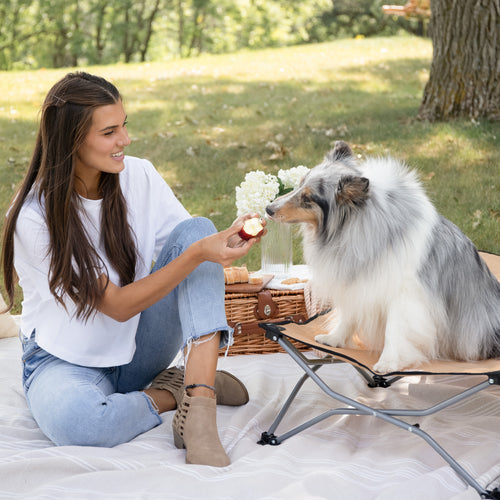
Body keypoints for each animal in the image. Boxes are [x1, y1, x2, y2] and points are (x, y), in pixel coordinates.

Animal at [266, 141, 500, 372]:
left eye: (307, 198)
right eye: (298, 185)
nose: (268, 208)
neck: (356, 227)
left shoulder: (404, 296)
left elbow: (394, 331)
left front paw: (388, 363)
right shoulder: (359, 285)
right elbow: (348, 316)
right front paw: (333, 339)